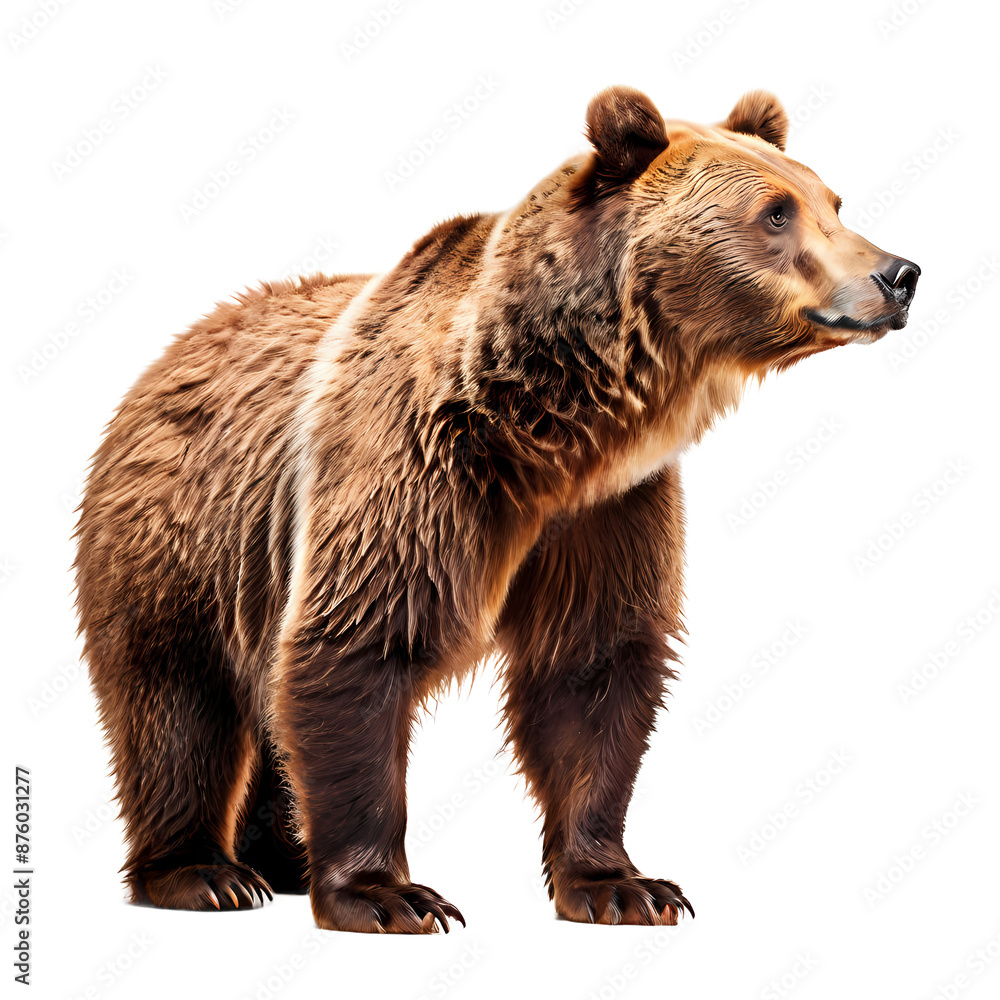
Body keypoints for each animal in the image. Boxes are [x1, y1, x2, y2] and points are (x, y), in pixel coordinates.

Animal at [75, 86, 920, 933]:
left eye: (831, 200)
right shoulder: (413, 473)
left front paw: (622, 884)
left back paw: (277, 860)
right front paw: (387, 895)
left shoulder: (607, 511)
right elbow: (357, 646)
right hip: (182, 537)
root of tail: (175, 348)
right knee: (176, 706)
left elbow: (593, 670)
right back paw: (203, 873)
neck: (554, 428)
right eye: (775, 212)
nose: (899, 273)